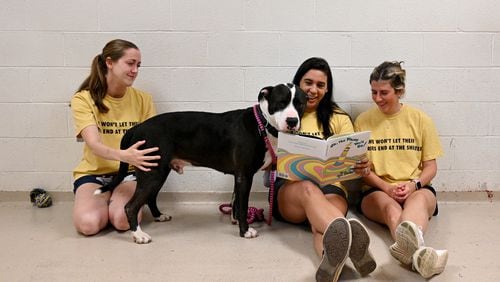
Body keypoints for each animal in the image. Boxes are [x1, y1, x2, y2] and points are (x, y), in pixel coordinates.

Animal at [95, 82, 306, 243]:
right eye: (281, 103)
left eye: (300, 104)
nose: (292, 121)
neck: (262, 124)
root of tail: (138, 128)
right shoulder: (245, 175)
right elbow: (243, 203)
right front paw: (245, 231)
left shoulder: (238, 175)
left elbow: (236, 201)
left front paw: (236, 220)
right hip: (152, 173)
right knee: (131, 206)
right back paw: (138, 235)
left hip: (158, 171)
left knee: (150, 197)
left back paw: (158, 216)